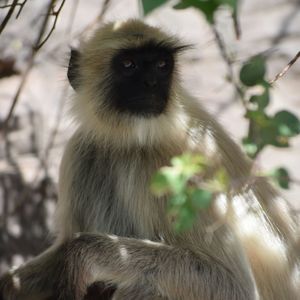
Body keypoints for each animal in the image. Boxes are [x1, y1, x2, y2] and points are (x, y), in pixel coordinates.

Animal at [0, 19, 300, 300]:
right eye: (129, 64)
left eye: (161, 64)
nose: (152, 83)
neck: (131, 140)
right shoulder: (82, 148)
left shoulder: (179, 162)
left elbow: (232, 285)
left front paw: (80, 254)